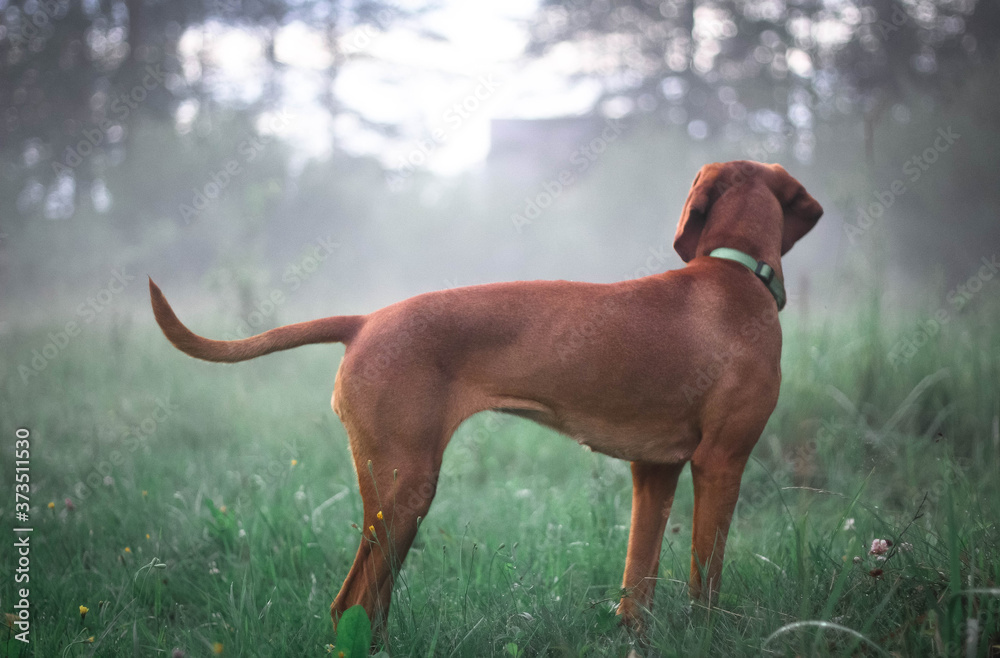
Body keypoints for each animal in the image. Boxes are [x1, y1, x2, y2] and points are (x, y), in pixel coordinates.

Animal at [148, 158, 820, 632]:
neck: (733, 272)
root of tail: (365, 320)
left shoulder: (652, 471)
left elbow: (638, 585)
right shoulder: (721, 462)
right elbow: (706, 582)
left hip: (392, 499)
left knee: (370, 606)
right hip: (407, 489)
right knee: (351, 603)